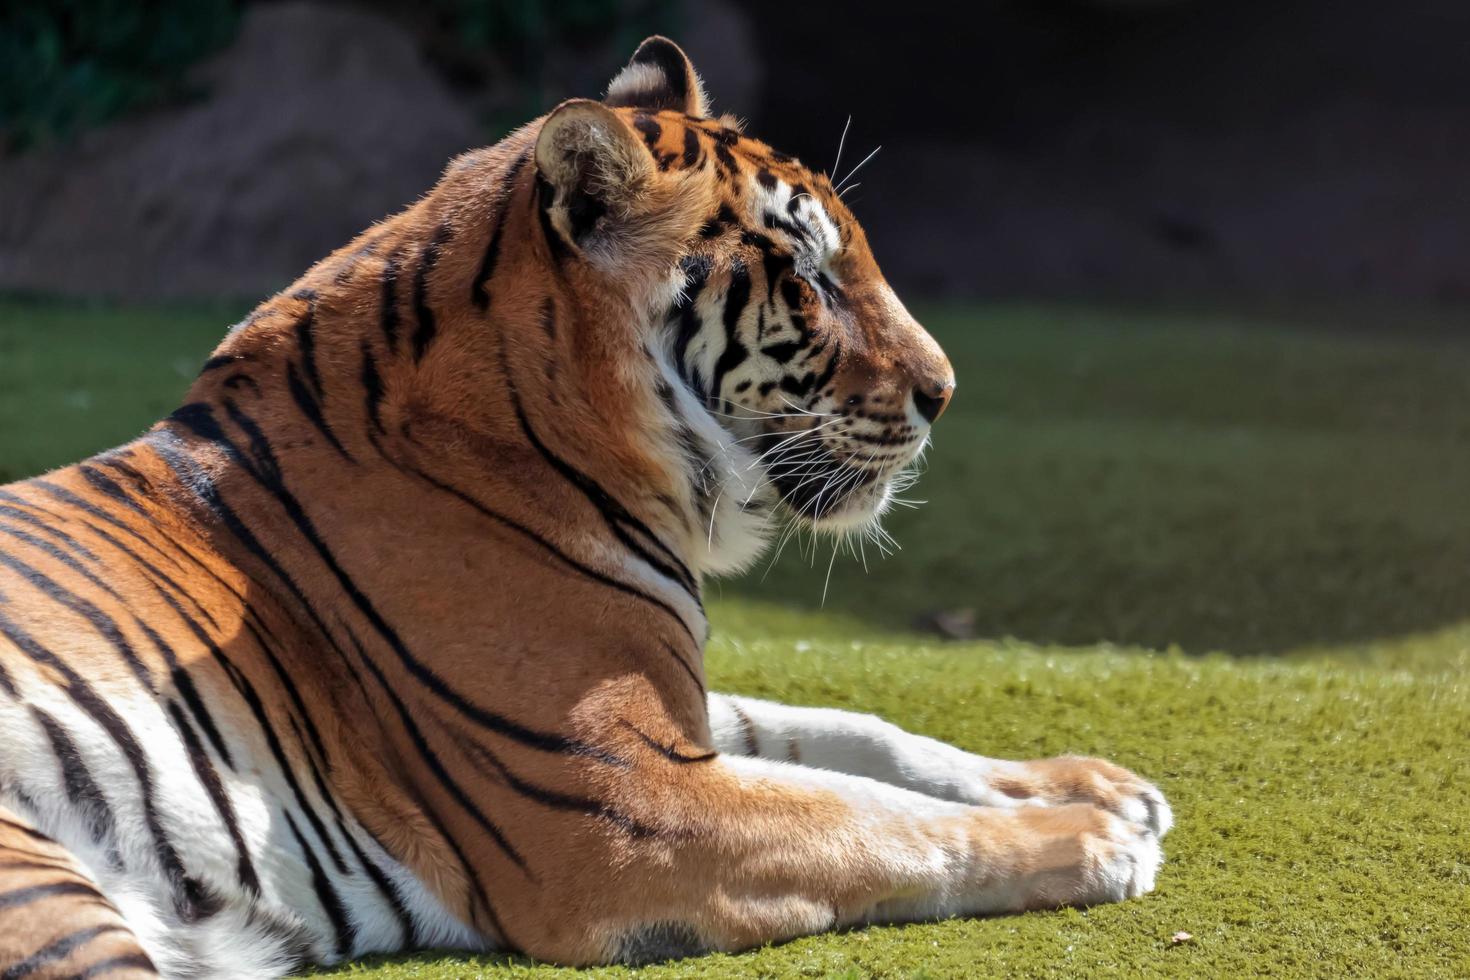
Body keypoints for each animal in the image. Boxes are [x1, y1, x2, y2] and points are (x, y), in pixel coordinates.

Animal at [0, 34, 1170, 975]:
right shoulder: (623, 801)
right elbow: (880, 817)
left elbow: (856, 735)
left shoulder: (671, 710)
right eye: (808, 280)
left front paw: (1103, 786)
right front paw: (1100, 840)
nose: (944, 390)